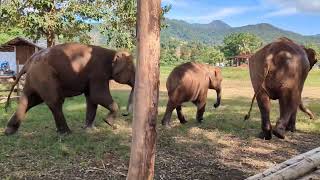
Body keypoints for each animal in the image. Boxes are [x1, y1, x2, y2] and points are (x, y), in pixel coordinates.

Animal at [4, 42, 135, 135]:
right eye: (132, 70)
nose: (125, 114)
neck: (112, 53)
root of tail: (29, 61)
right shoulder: (98, 74)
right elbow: (98, 95)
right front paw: (109, 123)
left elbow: (91, 99)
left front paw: (89, 130)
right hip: (45, 77)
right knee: (55, 101)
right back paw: (66, 133)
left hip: (35, 79)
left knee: (29, 101)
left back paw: (9, 131)